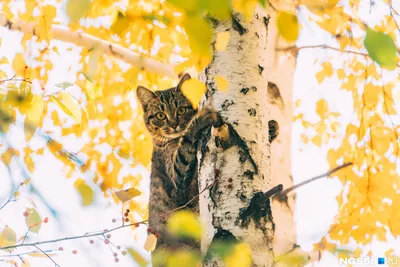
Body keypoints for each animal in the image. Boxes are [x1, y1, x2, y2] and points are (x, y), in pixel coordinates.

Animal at [136, 74, 223, 266]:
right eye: (161, 115)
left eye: (181, 110)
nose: (174, 124)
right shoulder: (177, 179)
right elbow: (187, 141)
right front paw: (198, 120)